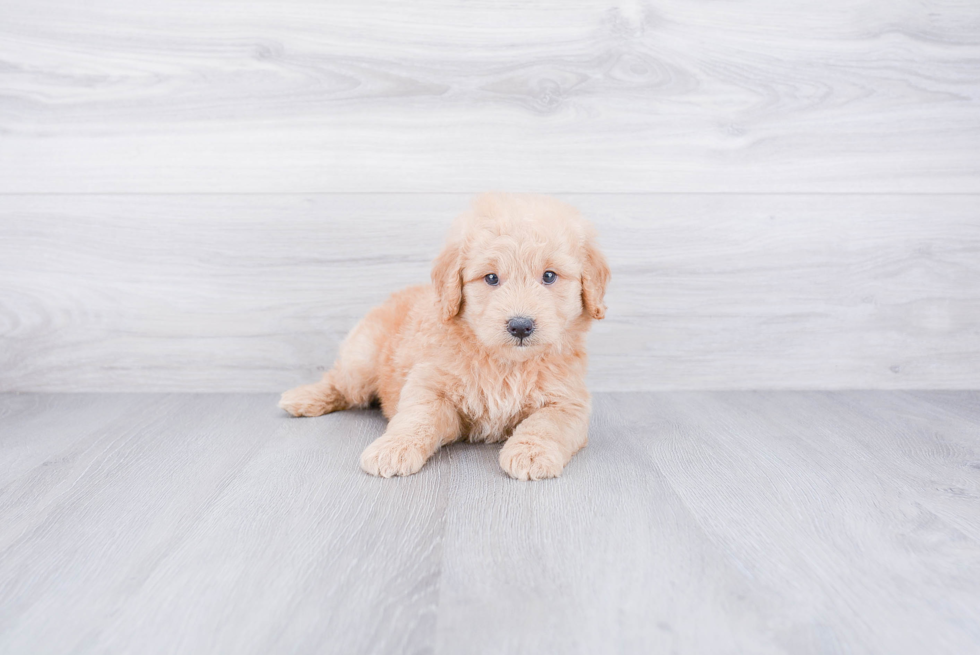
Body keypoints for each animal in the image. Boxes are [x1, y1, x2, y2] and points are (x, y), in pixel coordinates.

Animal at [280, 192, 608, 480]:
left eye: (549, 276)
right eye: (491, 278)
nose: (520, 326)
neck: (505, 363)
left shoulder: (568, 402)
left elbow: (546, 424)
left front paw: (530, 452)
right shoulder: (429, 386)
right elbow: (417, 418)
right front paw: (394, 448)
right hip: (362, 361)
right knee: (339, 381)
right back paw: (303, 397)